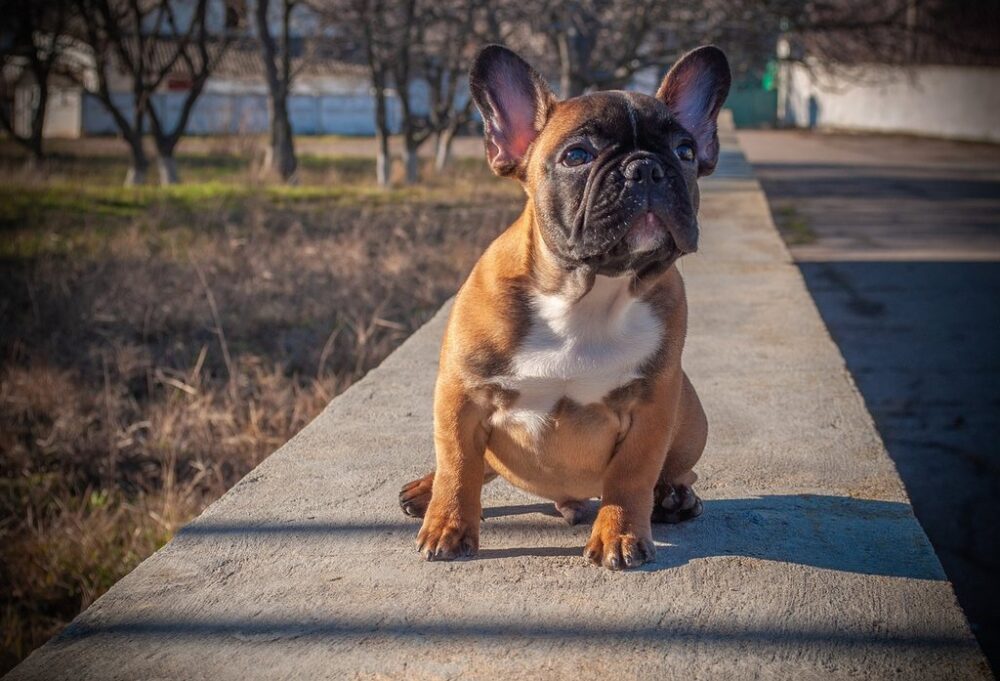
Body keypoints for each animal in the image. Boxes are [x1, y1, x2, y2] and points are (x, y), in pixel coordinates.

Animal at [398, 45, 736, 568]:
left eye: (685, 153)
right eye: (577, 156)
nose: (646, 168)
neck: (588, 293)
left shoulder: (653, 406)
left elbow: (631, 475)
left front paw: (620, 533)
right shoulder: (462, 394)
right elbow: (457, 464)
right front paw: (448, 526)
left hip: (690, 418)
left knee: (675, 473)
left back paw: (675, 498)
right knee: (477, 465)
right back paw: (424, 491)